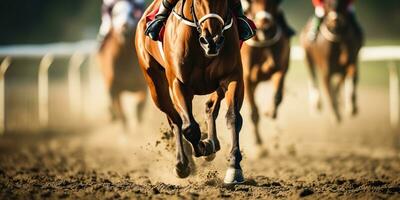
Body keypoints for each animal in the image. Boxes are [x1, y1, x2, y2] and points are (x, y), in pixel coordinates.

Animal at [97, 0, 147, 130]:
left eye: (132, 13)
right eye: (116, 14)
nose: (124, 26)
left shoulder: (142, 85)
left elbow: (139, 107)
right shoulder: (114, 88)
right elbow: (121, 113)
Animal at [136, 0, 245, 184]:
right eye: (198, 1)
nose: (212, 41)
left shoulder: (233, 76)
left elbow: (233, 117)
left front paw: (234, 168)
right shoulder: (178, 84)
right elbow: (190, 128)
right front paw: (203, 147)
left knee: (210, 106)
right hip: (156, 87)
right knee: (176, 121)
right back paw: (182, 163)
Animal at [241, 0, 290, 152]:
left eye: (273, 2)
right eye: (252, 2)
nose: (265, 28)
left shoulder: (279, 69)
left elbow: (278, 96)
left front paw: (270, 112)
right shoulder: (246, 77)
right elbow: (253, 112)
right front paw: (258, 143)